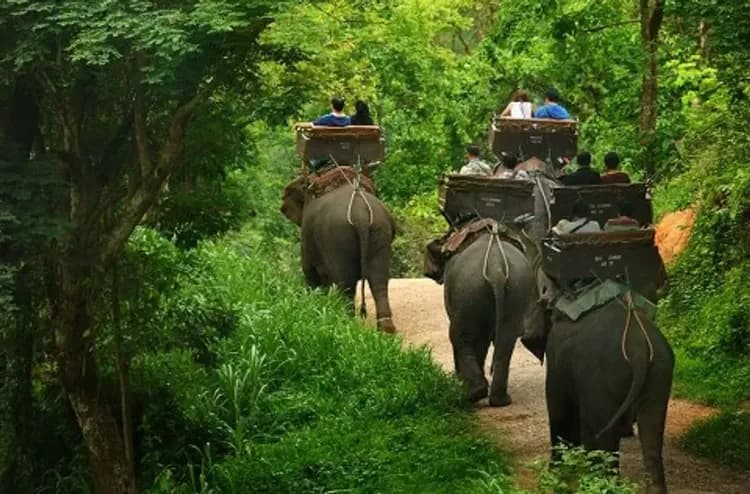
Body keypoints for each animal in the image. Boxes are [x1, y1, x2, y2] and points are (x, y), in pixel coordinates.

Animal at [281, 175, 397, 333]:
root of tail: (361, 217)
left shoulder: (306, 237)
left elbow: (310, 272)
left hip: (339, 238)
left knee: (346, 284)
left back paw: (346, 324)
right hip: (380, 232)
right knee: (379, 281)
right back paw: (386, 330)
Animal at [443, 230, 543, 405]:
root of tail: (496, 269)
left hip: (468, 290)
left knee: (459, 336)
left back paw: (472, 394)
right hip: (516, 290)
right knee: (505, 340)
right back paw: (500, 400)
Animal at [526, 297, 674, 494]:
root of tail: (639, 350)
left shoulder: (556, 359)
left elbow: (558, 408)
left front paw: (555, 475)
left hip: (603, 377)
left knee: (600, 429)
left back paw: (597, 483)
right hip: (659, 370)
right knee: (651, 431)